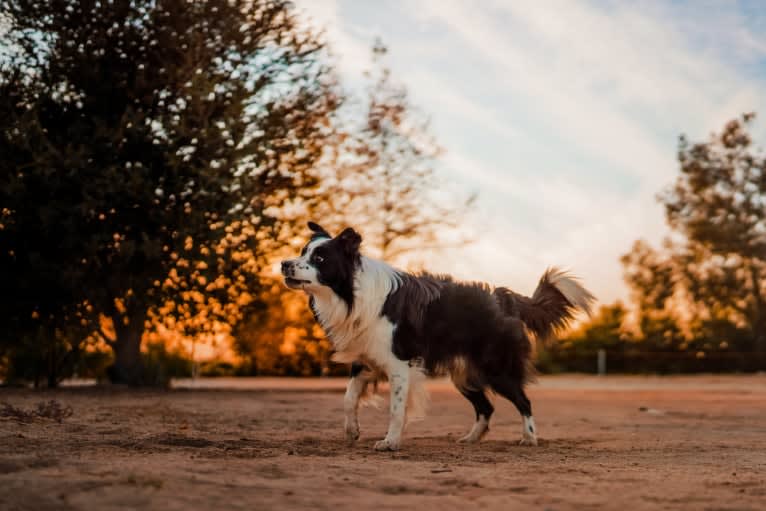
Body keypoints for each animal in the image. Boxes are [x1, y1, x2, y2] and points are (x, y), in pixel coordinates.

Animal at [280, 223, 592, 452]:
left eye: (319, 258)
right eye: (302, 251)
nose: (283, 263)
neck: (352, 292)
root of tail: (505, 298)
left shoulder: (399, 364)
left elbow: (396, 408)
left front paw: (390, 442)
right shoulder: (365, 359)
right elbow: (348, 398)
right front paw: (352, 430)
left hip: (496, 369)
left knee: (523, 402)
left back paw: (529, 438)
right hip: (464, 374)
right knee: (486, 407)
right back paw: (471, 438)